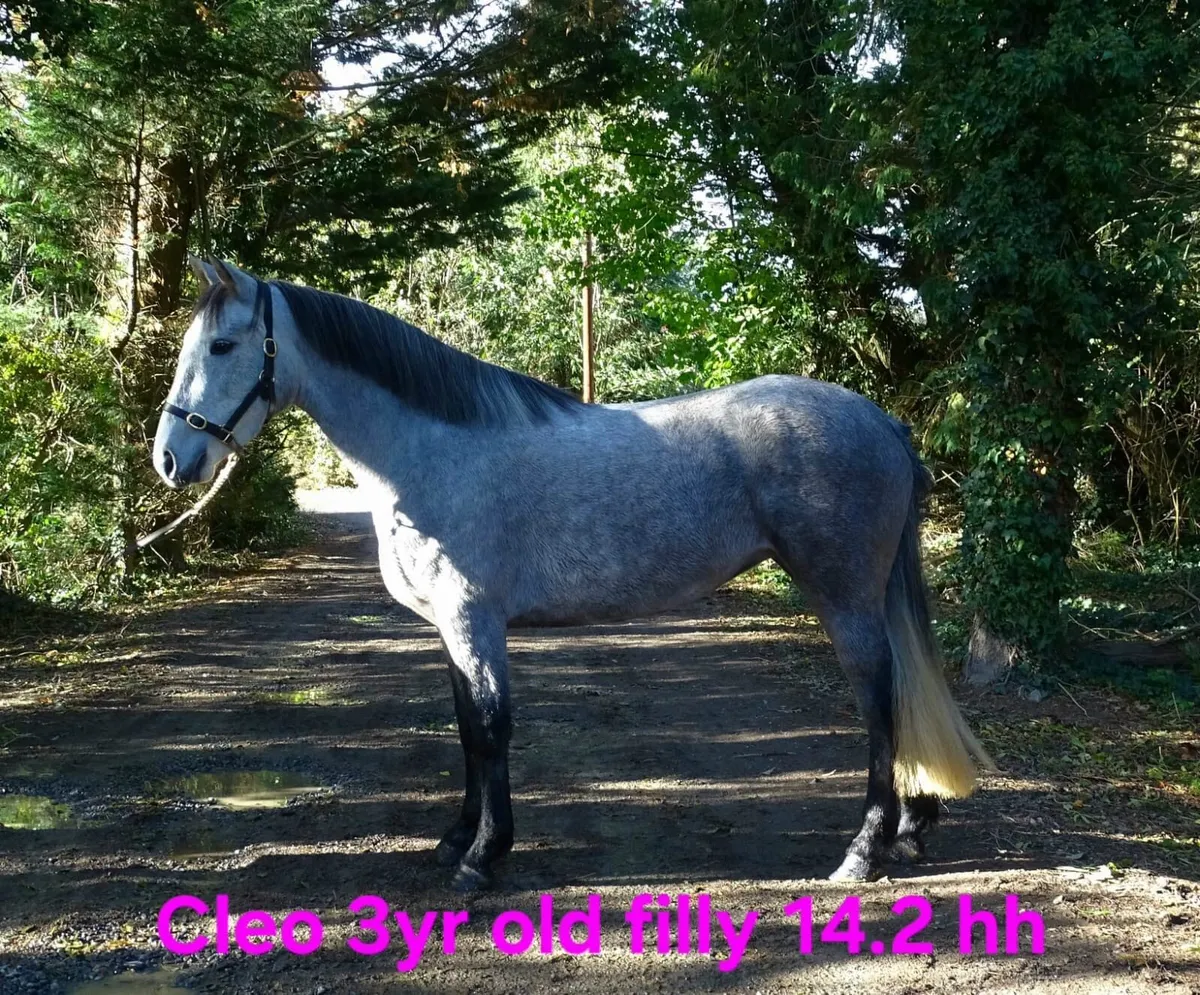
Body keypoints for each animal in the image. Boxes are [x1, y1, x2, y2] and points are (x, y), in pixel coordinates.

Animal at [153, 256, 992, 891]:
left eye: (222, 347)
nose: (171, 459)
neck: (429, 448)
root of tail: (882, 420)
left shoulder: (475, 619)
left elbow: (492, 727)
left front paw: (483, 856)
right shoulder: (450, 627)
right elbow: (466, 728)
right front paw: (457, 837)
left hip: (844, 596)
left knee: (879, 706)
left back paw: (861, 851)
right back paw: (910, 829)